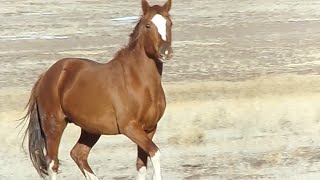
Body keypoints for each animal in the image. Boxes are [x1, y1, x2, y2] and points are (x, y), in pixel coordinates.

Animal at [21, 0, 174, 179]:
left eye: (169, 23)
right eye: (148, 25)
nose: (166, 52)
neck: (141, 83)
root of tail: (45, 76)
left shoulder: (150, 128)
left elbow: (141, 165)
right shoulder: (130, 127)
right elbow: (155, 152)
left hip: (91, 130)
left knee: (78, 154)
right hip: (54, 126)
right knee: (53, 164)